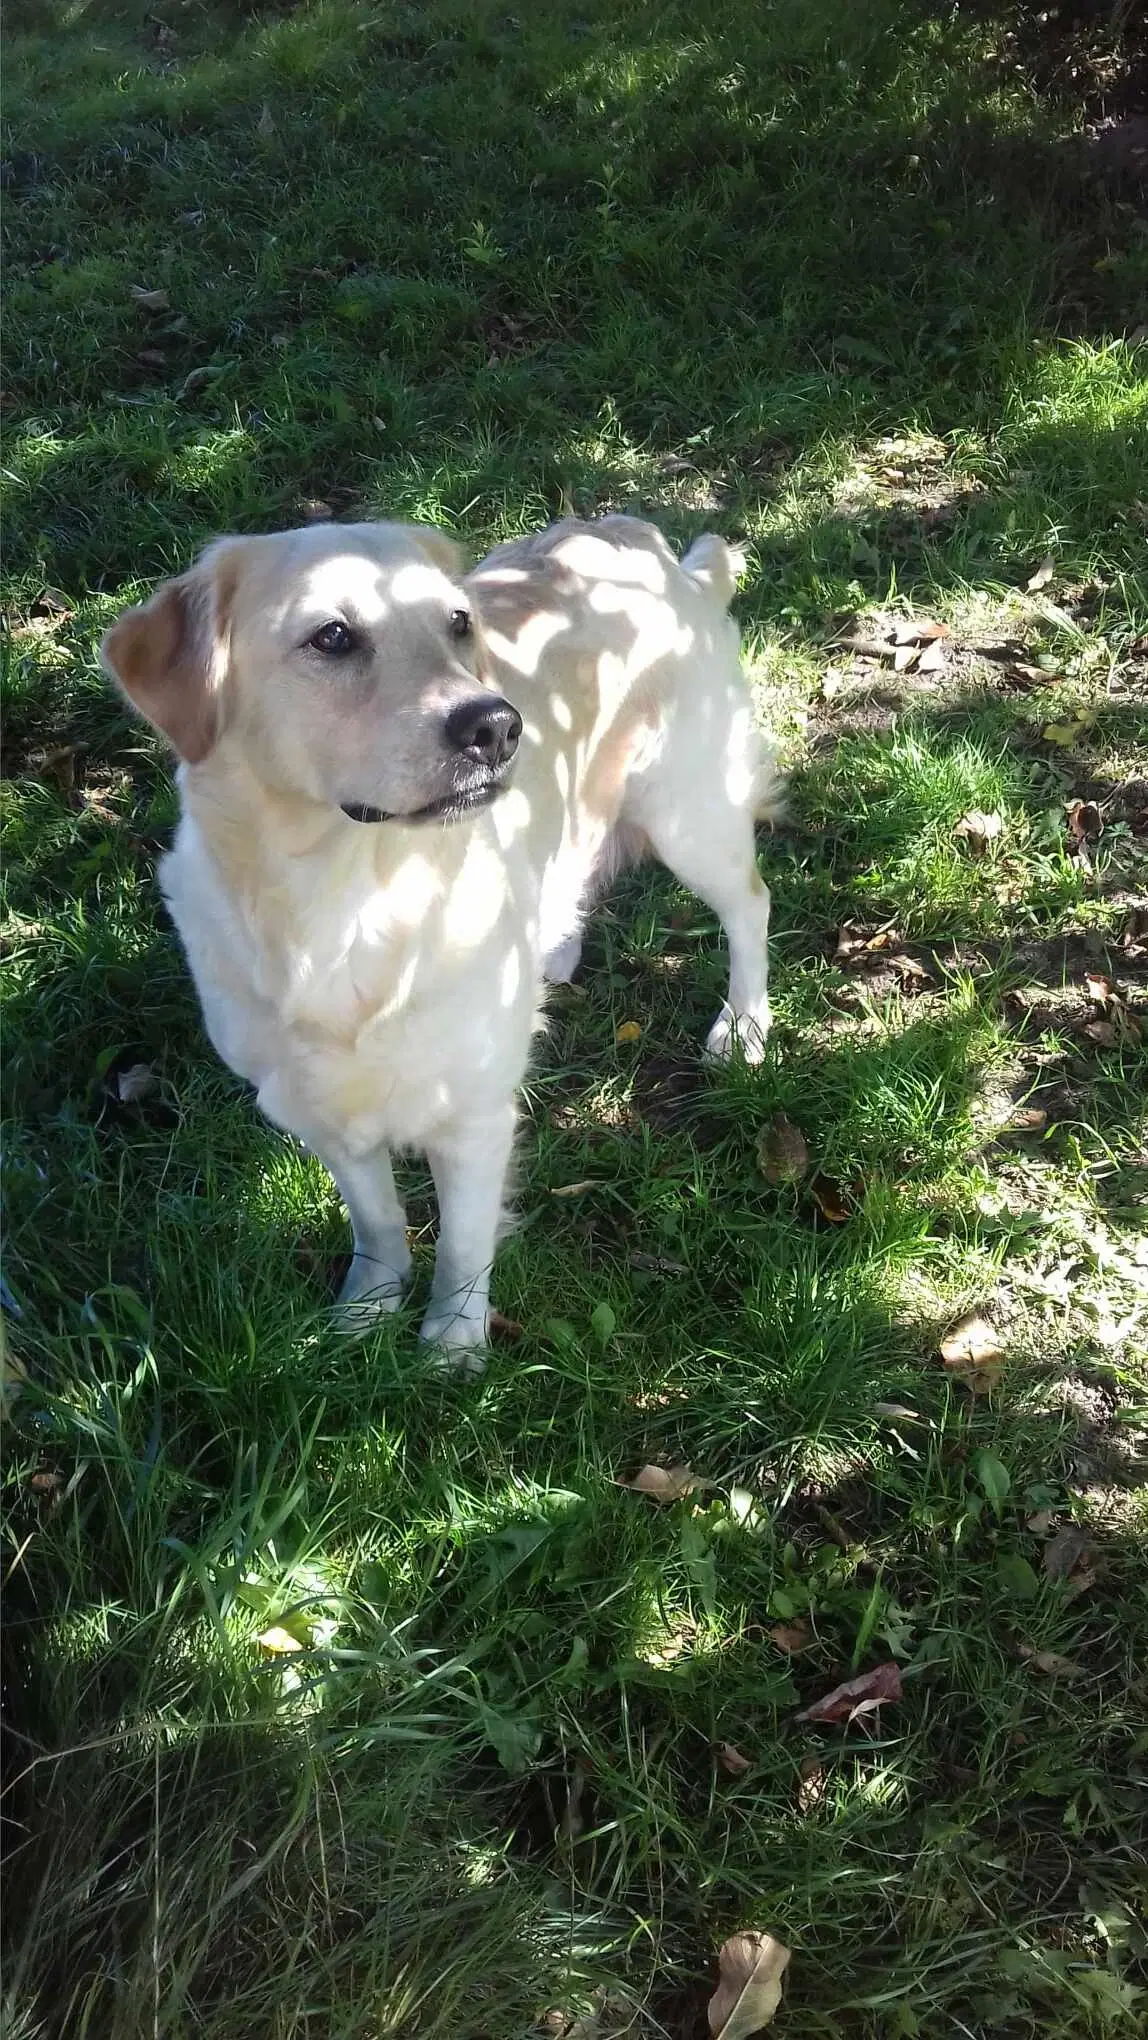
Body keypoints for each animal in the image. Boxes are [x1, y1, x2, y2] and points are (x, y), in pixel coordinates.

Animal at [103, 518, 783, 1362]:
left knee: (749, 907)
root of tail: (646, 541)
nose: (496, 726)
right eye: (332, 637)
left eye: (459, 623)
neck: (348, 901)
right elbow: (377, 1221)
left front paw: (452, 1348)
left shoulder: (474, 1113)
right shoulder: (313, 1107)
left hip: (688, 812)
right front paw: (366, 1309)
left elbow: (462, 1243)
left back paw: (744, 1025)